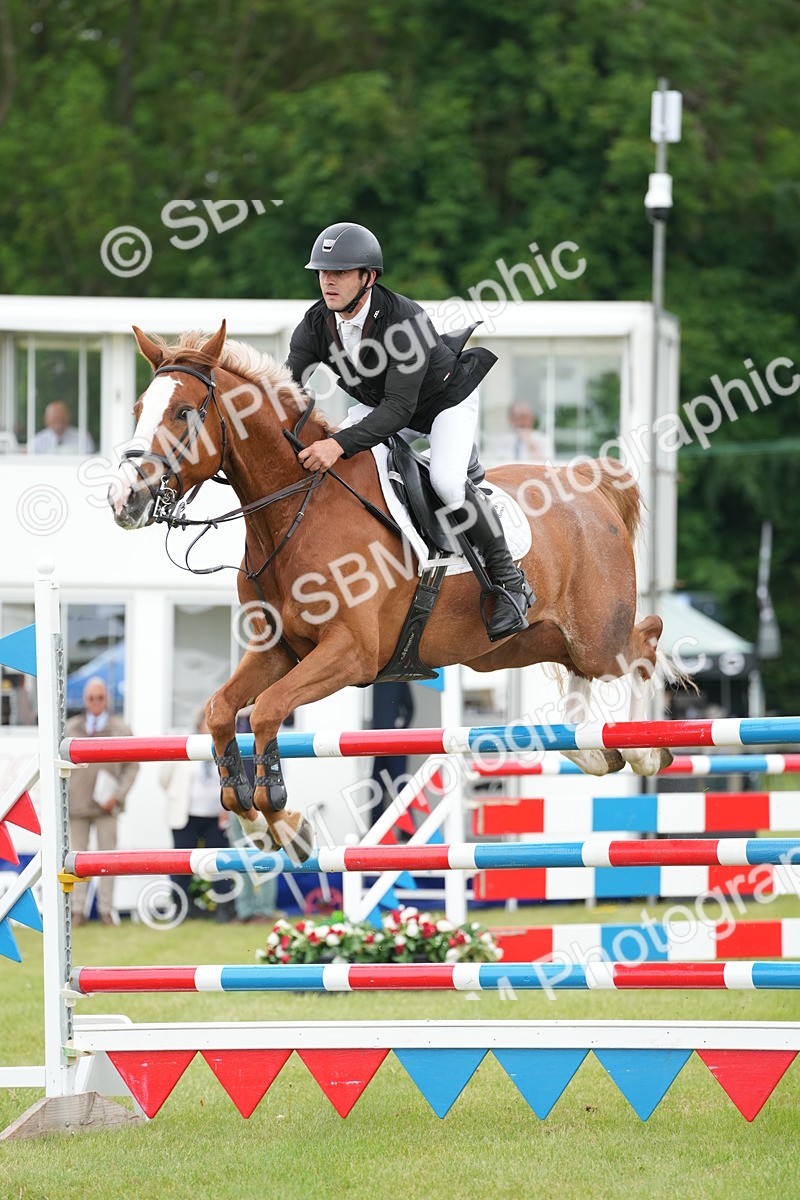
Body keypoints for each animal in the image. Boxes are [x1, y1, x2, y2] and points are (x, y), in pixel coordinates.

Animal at [110, 321, 672, 861]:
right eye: (136, 410)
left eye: (184, 412)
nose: (124, 499)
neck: (296, 510)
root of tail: (591, 487)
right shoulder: (279, 650)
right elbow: (221, 711)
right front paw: (256, 822)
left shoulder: (351, 654)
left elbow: (268, 710)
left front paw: (286, 823)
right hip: (513, 647)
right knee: (581, 671)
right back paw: (592, 748)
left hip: (596, 633)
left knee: (644, 638)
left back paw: (642, 749)